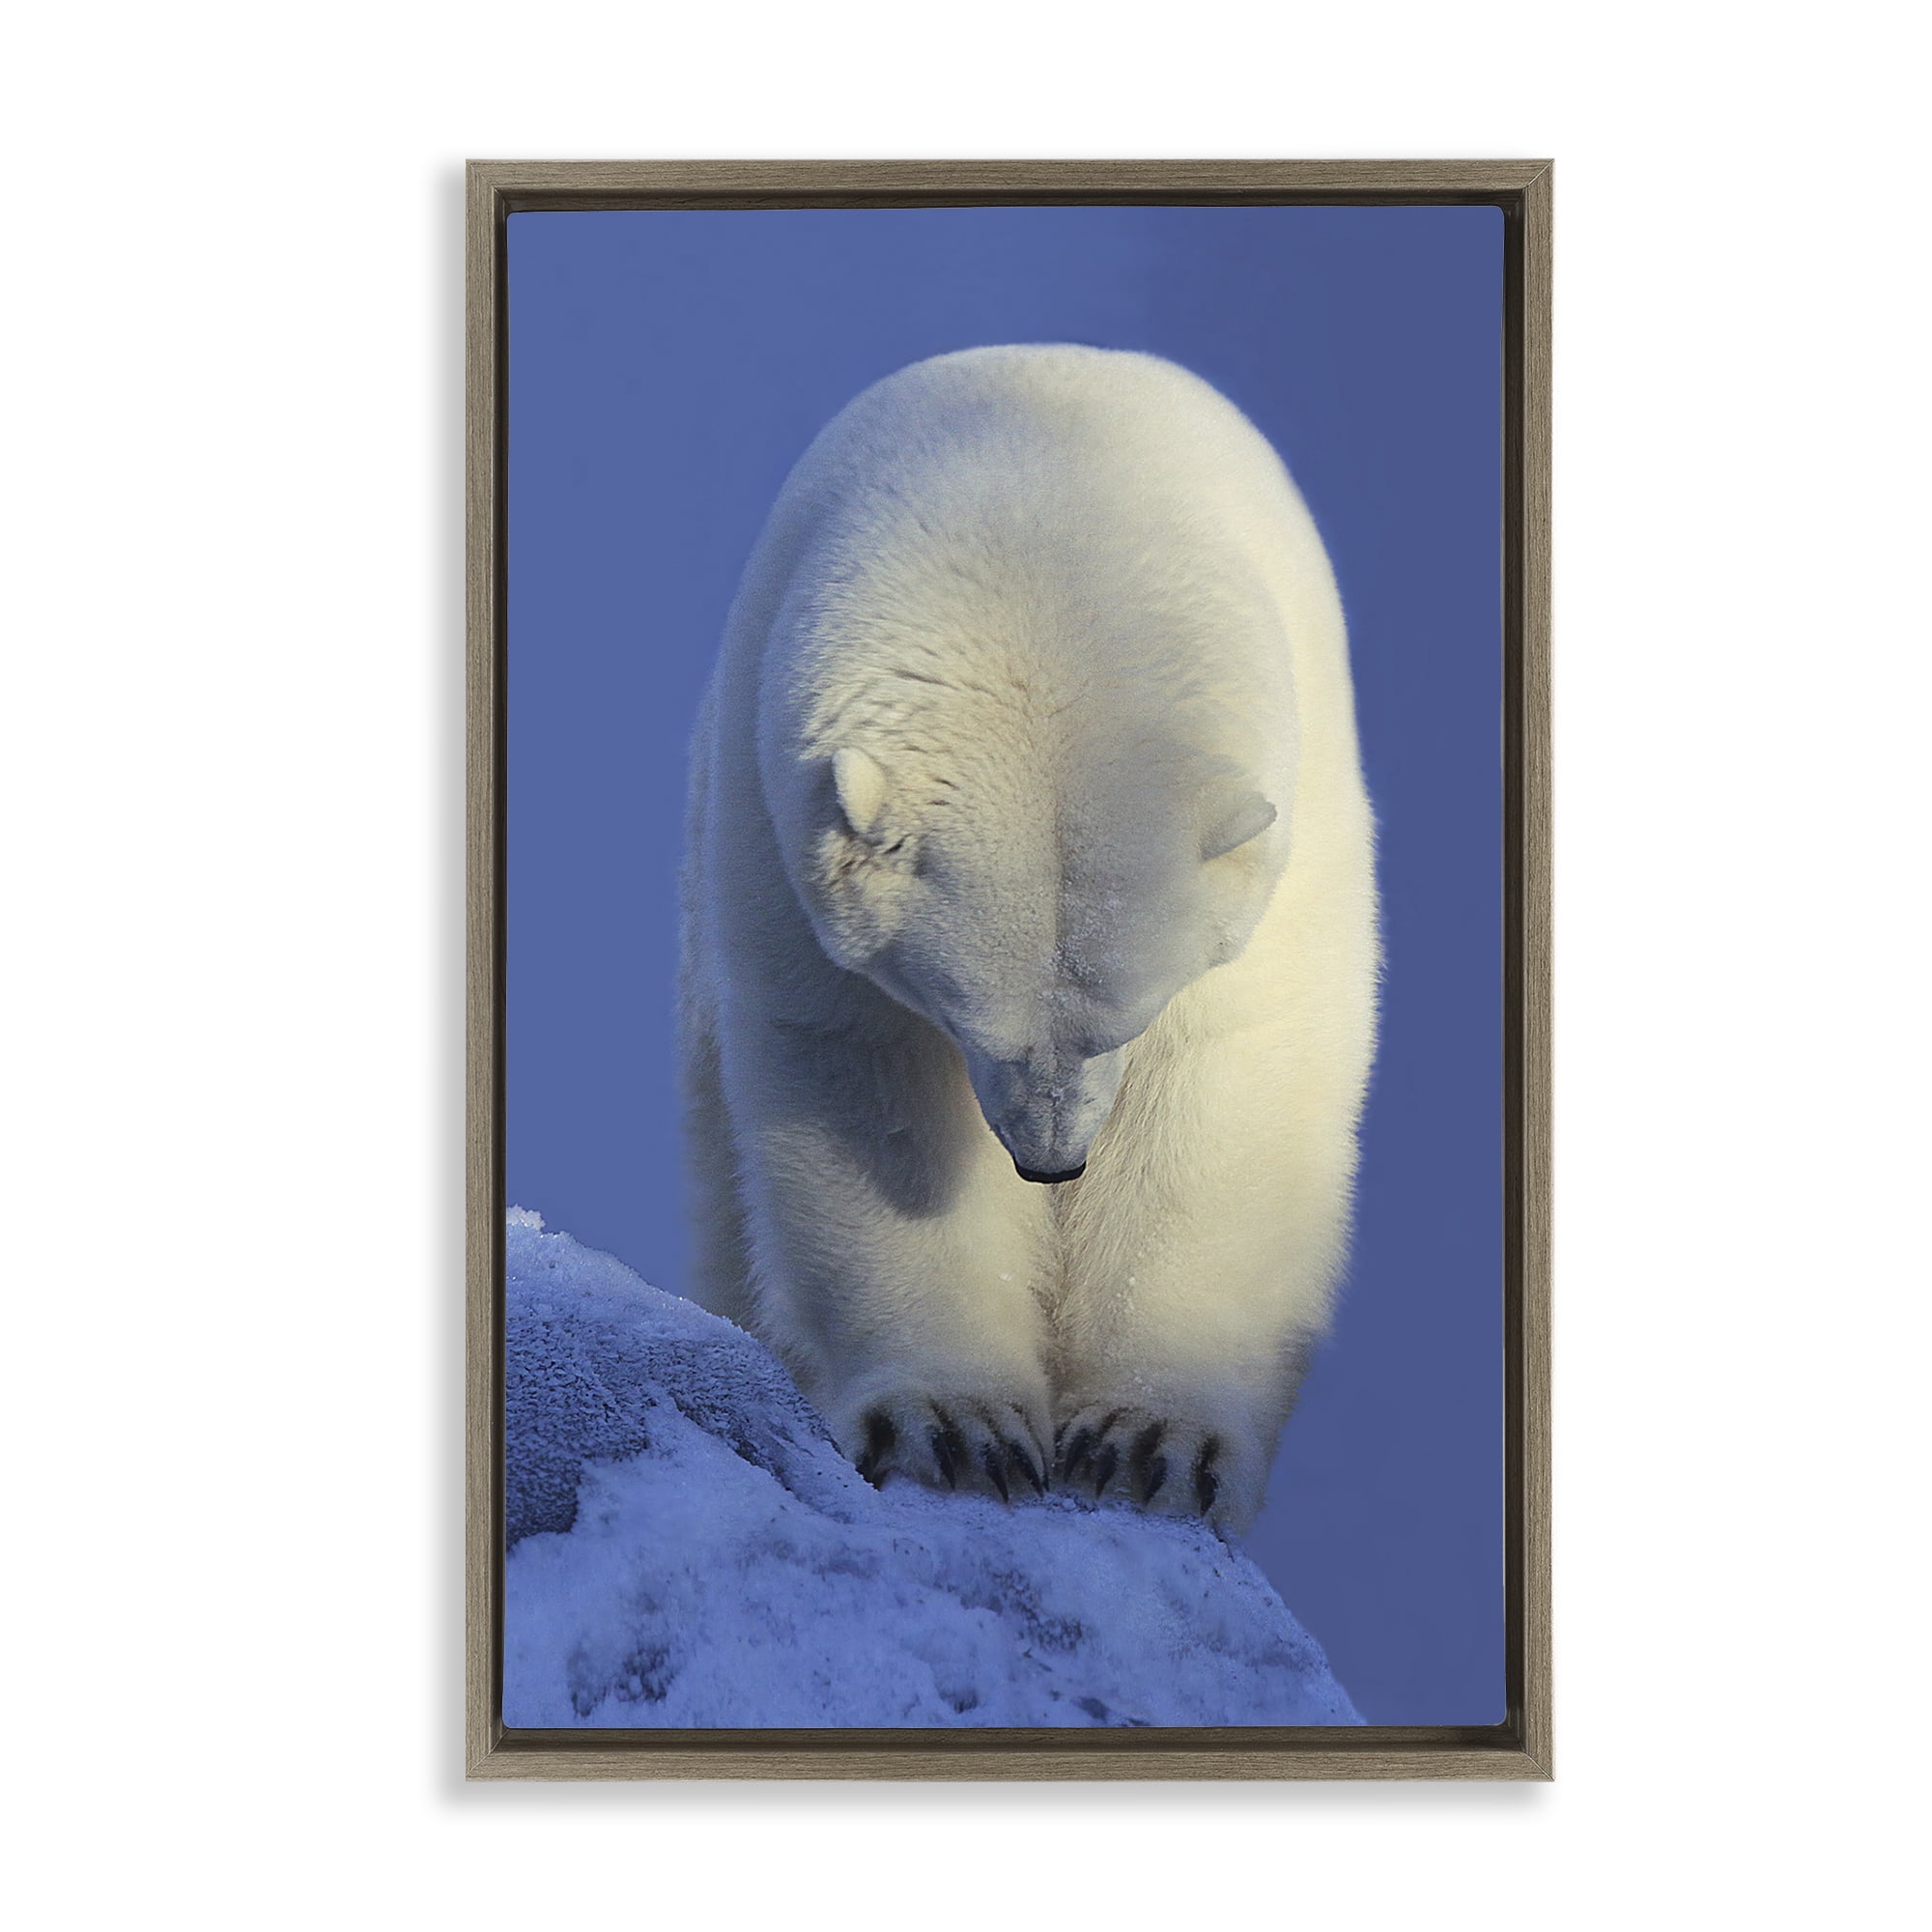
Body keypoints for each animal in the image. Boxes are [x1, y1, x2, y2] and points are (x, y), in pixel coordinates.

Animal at [678, 344, 1378, 1534]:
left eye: (1127, 1016)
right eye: (964, 1013)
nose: (1052, 1161)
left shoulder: (1292, 833)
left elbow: (1230, 1085)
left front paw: (1149, 1444)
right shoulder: (773, 832)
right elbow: (866, 1088)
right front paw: (954, 1430)